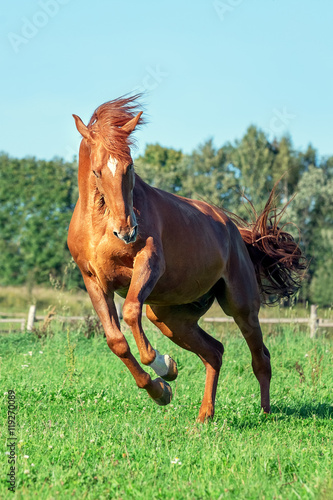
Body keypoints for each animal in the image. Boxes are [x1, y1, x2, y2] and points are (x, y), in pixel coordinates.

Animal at [67, 94, 304, 422]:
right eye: (97, 171)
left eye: (130, 166)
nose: (127, 230)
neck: (100, 226)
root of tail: (235, 232)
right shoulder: (94, 281)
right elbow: (116, 341)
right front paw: (161, 390)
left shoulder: (149, 262)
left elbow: (131, 313)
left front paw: (164, 366)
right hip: (170, 316)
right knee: (214, 351)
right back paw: (205, 415)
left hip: (241, 306)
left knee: (261, 357)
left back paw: (265, 413)